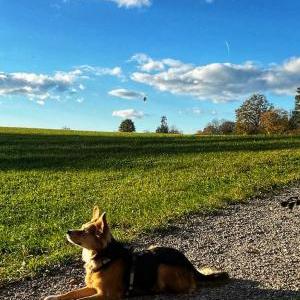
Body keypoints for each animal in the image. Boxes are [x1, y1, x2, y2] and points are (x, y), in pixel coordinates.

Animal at [44, 206, 229, 300]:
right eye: (81, 227)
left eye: (83, 232)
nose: (67, 231)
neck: (102, 255)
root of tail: (189, 264)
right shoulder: (93, 287)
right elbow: (72, 293)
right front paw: (54, 296)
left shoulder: (107, 294)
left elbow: (80, 299)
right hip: (155, 247)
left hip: (162, 267)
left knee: (189, 288)